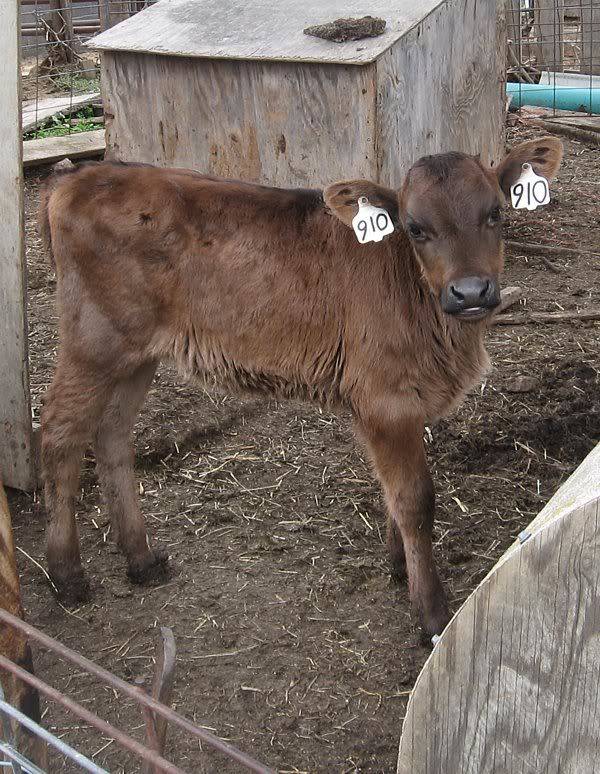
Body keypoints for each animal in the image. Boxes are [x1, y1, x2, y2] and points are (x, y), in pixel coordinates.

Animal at [39, 137, 563, 637]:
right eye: (415, 228)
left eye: (495, 213)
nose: (471, 291)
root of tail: (81, 176)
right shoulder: (386, 401)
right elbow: (415, 501)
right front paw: (431, 613)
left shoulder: (394, 408)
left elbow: (392, 492)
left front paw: (398, 567)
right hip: (93, 341)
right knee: (61, 435)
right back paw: (67, 574)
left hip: (137, 353)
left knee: (112, 435)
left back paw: (142, 559)